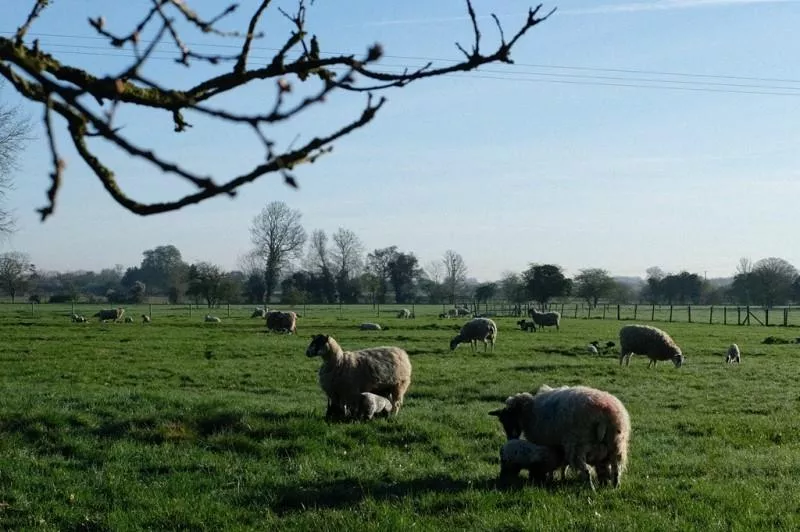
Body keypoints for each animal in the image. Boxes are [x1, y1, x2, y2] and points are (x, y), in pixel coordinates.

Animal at [488, 382, 632, 490]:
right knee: (616, 469)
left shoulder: (546, 444)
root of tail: (604, 414)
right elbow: (563, 465)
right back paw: (615, 487)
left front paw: (550, 478)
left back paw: (591, 488)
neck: (528, 412)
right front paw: (561, 478)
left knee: (586, 471)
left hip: (577, 446)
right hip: (617, 445)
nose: (511, 439)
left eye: (506, 419)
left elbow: (552, 464)